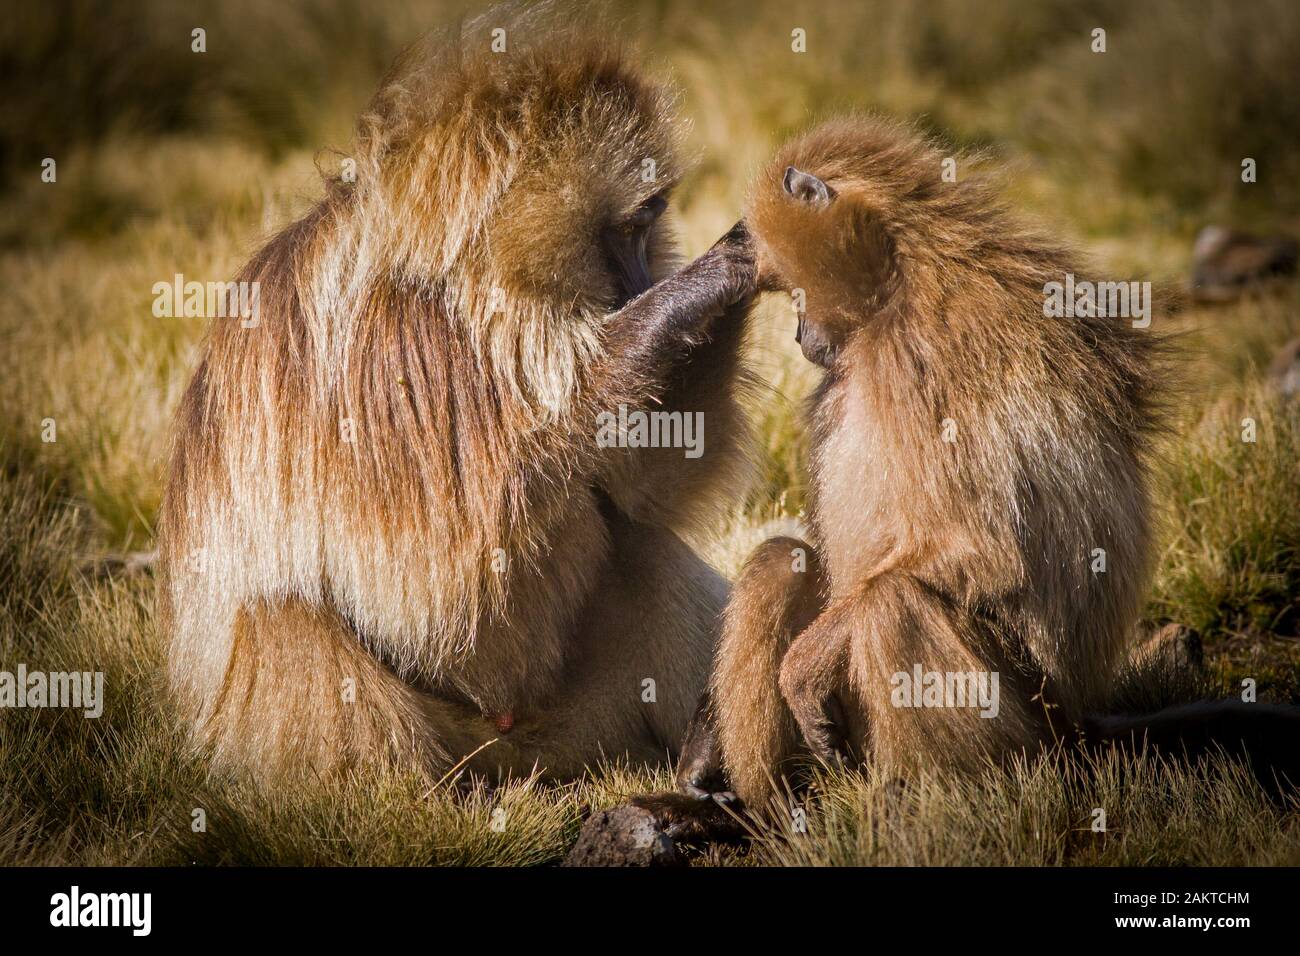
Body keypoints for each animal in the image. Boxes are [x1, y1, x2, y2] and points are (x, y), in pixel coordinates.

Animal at [157, 3, 759, 785]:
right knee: (284, 622)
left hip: (582, 732)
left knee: (643, 550)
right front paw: (705, 283)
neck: (459, 286)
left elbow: (641, 492)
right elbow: (434, 592)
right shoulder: (394, 348)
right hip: (459, 743)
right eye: (631, 226)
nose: (640, 285)